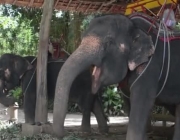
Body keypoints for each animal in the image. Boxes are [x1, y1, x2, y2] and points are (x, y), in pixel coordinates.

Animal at [52, 12, 180, 140]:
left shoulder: (149, 68)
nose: (64, 133)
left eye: (108, 43)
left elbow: (141, 103)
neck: (135, 28)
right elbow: (129, 104)